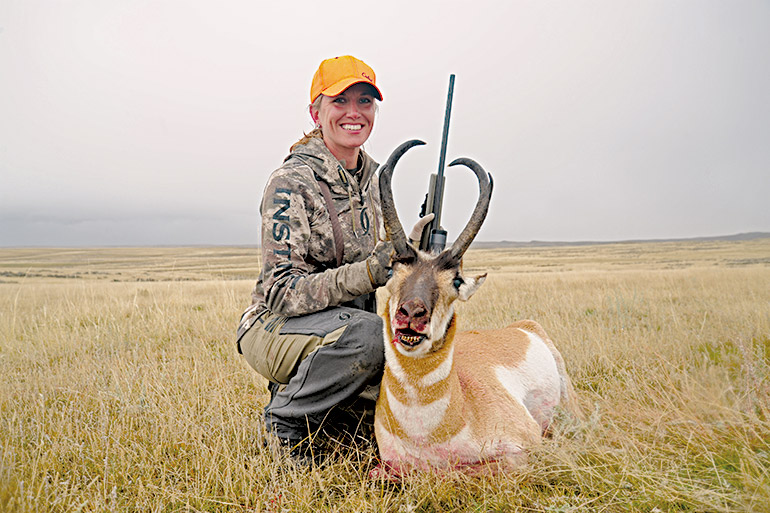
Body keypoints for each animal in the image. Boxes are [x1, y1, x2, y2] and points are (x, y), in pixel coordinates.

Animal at [373, 140, 580, 477]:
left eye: (455, 280)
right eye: (392, 270)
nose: (412, 314)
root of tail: (521, 328)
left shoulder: (525, 449)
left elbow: (463, 472)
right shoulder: (389, 466)